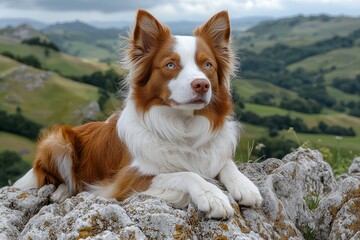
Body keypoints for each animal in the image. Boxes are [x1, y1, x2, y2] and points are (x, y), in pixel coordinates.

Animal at [14, 9, 262, 219]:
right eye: (170, 65)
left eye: (208, 65)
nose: (202, 85)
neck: (183, 127)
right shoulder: (127, 179)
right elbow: (186, 174)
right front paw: (212, 196)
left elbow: (226, 162)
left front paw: (245, 185)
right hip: (57, 140)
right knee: (55, 177)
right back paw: (62, 192)